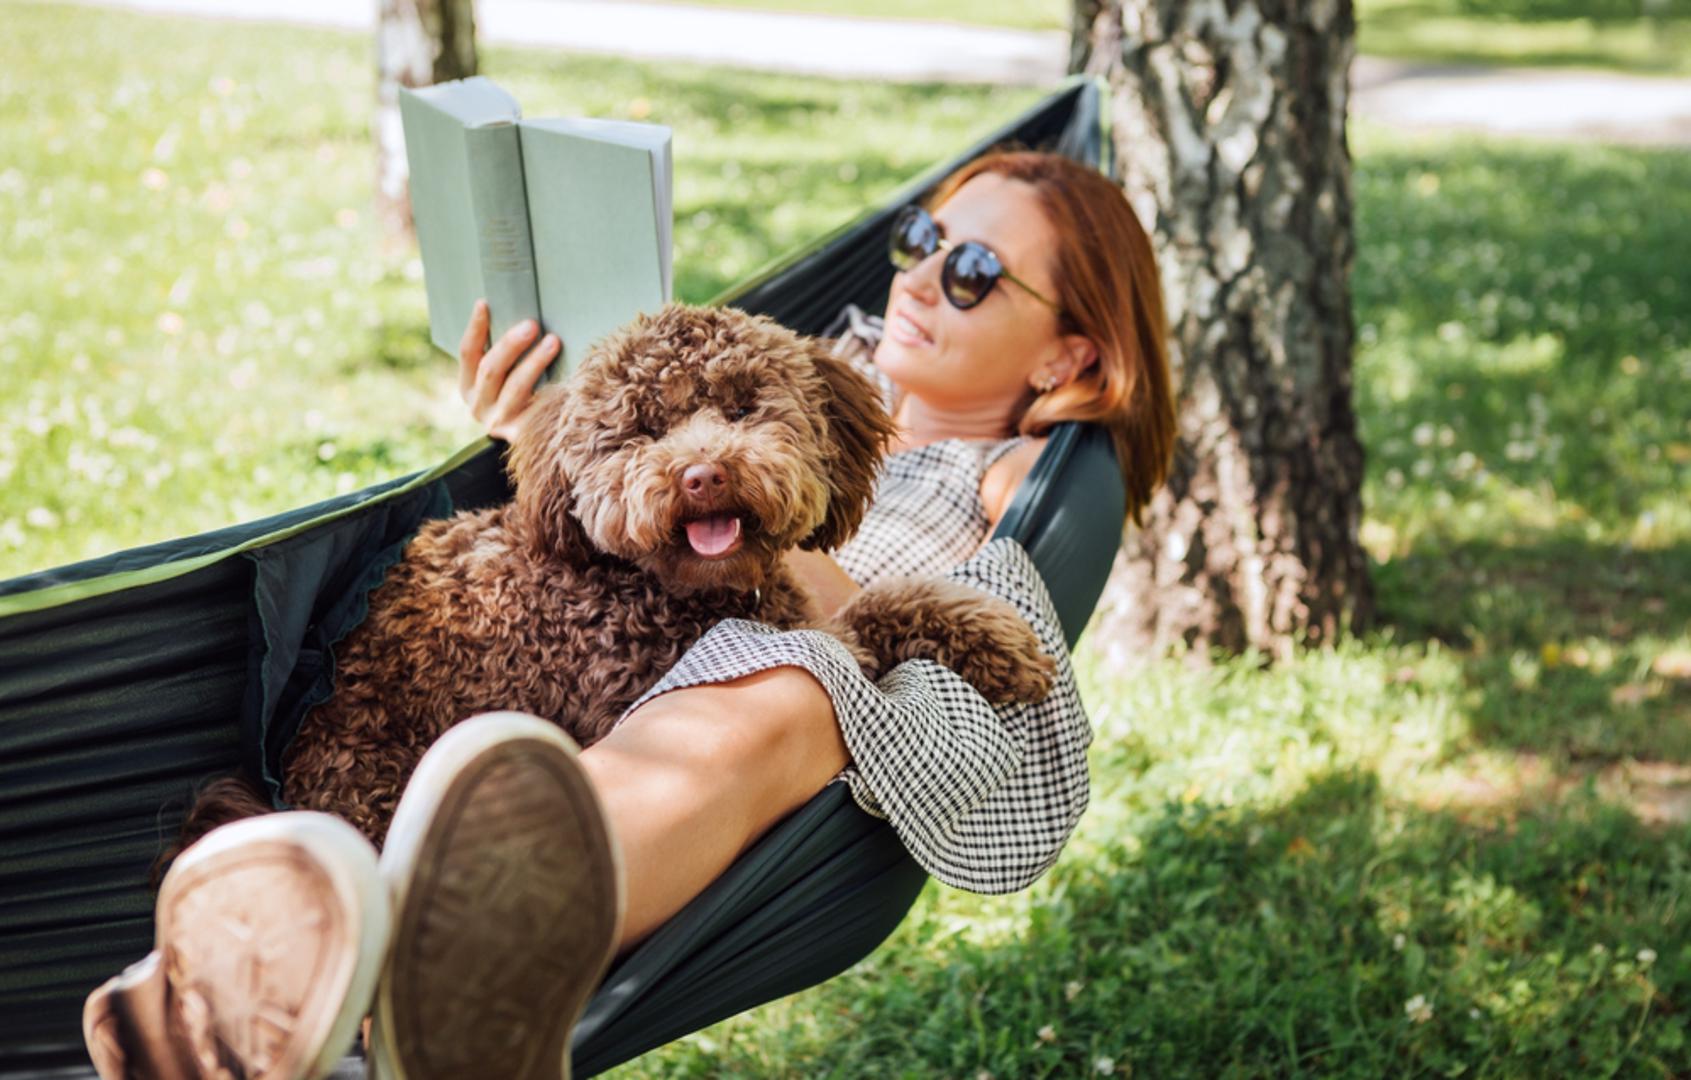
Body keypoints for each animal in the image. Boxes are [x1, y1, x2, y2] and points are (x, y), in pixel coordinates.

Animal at [188, 304, 1055, 851]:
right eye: (640, 429)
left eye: (744, 407)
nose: (702, 475)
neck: (652, 588)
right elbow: (861, 630)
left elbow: (880, 607)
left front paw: (991, 635)